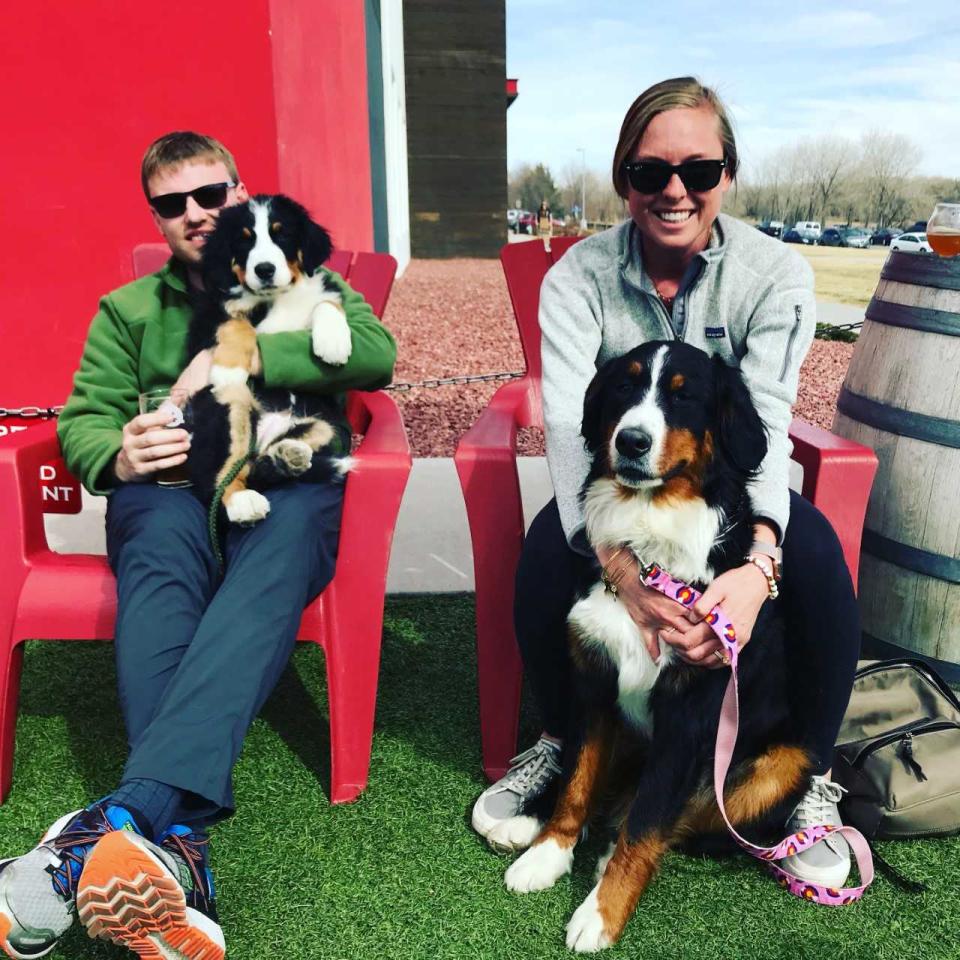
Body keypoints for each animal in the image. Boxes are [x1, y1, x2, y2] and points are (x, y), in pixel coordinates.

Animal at [182, 195, 350, 524]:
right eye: (244, 240)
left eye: (281, 234)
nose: (264, 269)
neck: (279, 296)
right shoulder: (212, 313)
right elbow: (237, 324)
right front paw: (229, 370)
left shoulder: (320, 294)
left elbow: (326, 303)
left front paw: (334, 342)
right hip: (227, 410)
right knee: (221, 474)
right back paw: (243, 502)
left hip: (327, 426)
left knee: (261, 463)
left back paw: (286, 456)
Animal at [506, 342, 812, 948]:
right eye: (624, 388)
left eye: (683, 395)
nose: (631, 441)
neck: (651, 537)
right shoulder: (595, 685)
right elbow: (577, 780)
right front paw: (548, 853)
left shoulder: (689, 714)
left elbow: (648, 820)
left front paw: (601, 912)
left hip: (785, 761)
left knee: (687, 820)